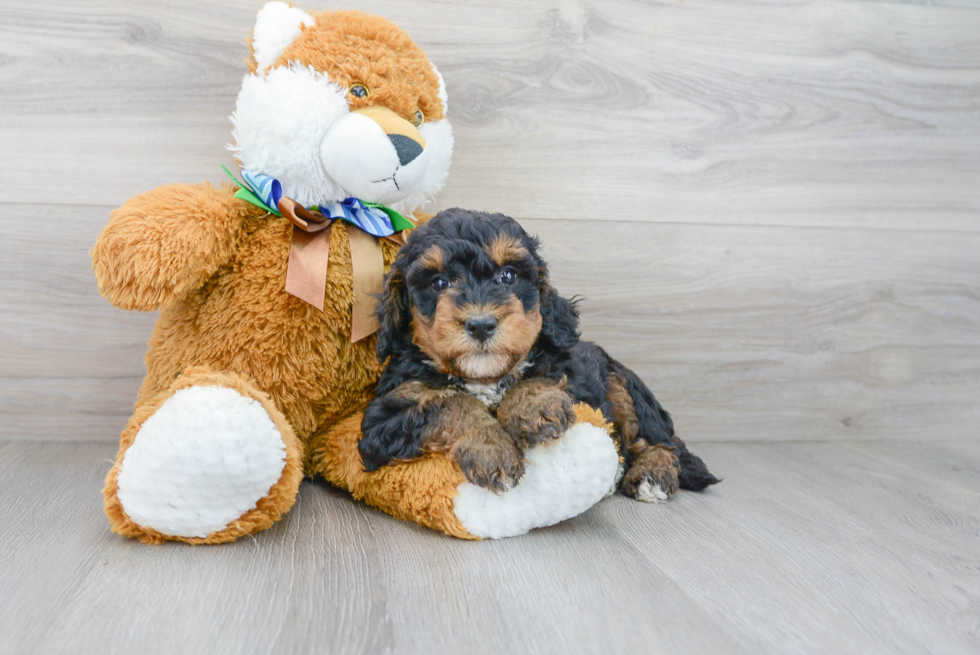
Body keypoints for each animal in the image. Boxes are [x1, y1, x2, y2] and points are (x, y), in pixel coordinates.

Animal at [360, 208, 720, 500]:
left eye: (508, 276)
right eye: (438, 282)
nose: (481, 325)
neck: (485, 376)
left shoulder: (575, 379)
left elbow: (541, 376)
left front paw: (534, 407)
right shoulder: (382, 421)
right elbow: (450, 402)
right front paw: (492, 449)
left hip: (622, 385)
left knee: (660, 442)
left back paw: (651, 474)